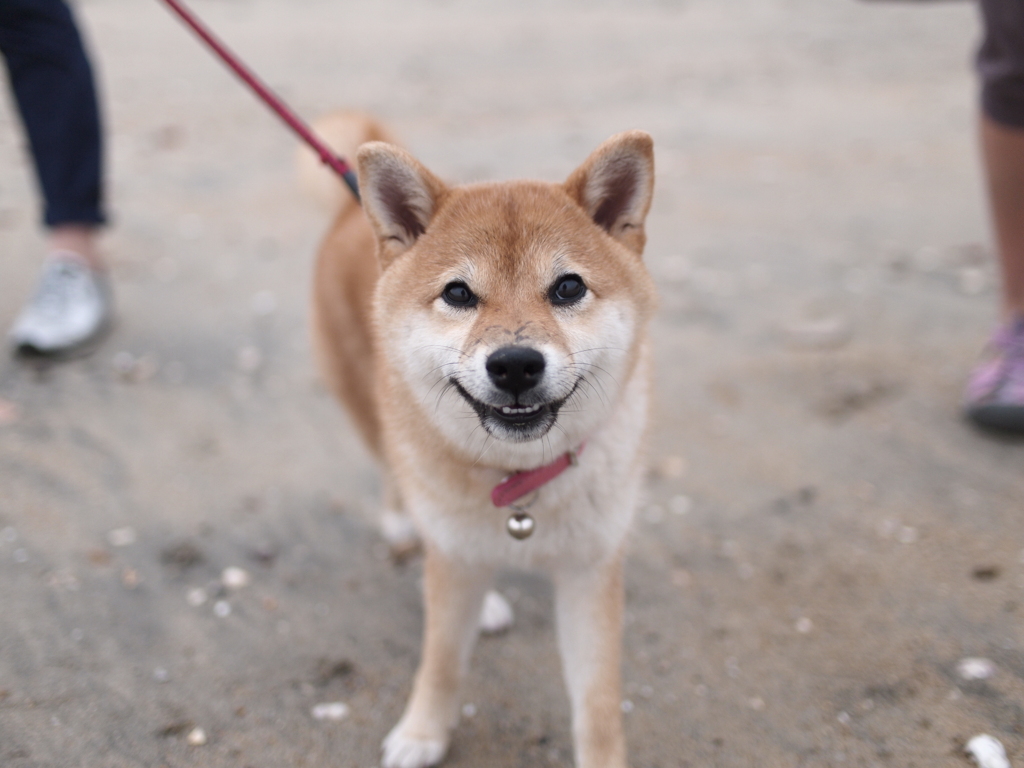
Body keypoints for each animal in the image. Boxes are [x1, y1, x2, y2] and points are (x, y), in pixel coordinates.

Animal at [305, 114, 655, 768]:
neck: (521, 486)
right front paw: (422, 732)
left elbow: (597, 702)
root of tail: (348, 207)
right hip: (369, 403)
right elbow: (442, 660)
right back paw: (409, 527)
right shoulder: (455, 567)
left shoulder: (590, 572)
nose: (515, 364)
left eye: (568, 288)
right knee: (396, 473)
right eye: (459, 294)